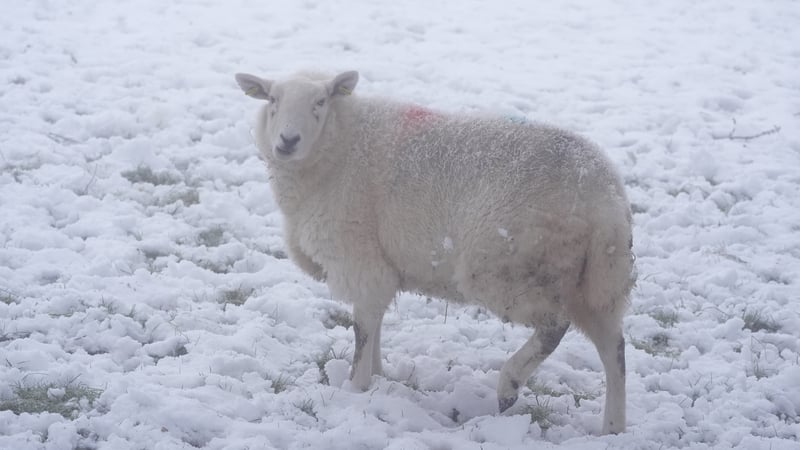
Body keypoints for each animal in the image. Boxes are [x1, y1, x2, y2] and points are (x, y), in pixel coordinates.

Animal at [233, 71, 636, 436]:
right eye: (272, 100)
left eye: (320, 102)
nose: (287, 141)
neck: (340, 146)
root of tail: (605, 194)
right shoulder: (380, 266)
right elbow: (374, 323)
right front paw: (379, 378)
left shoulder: (359, 258)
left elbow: (362, 329)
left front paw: (356, 388)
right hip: (597, 280)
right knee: (613, 349)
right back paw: (613, 429)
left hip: (508, 268)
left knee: (555, 327)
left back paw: (509, 386)